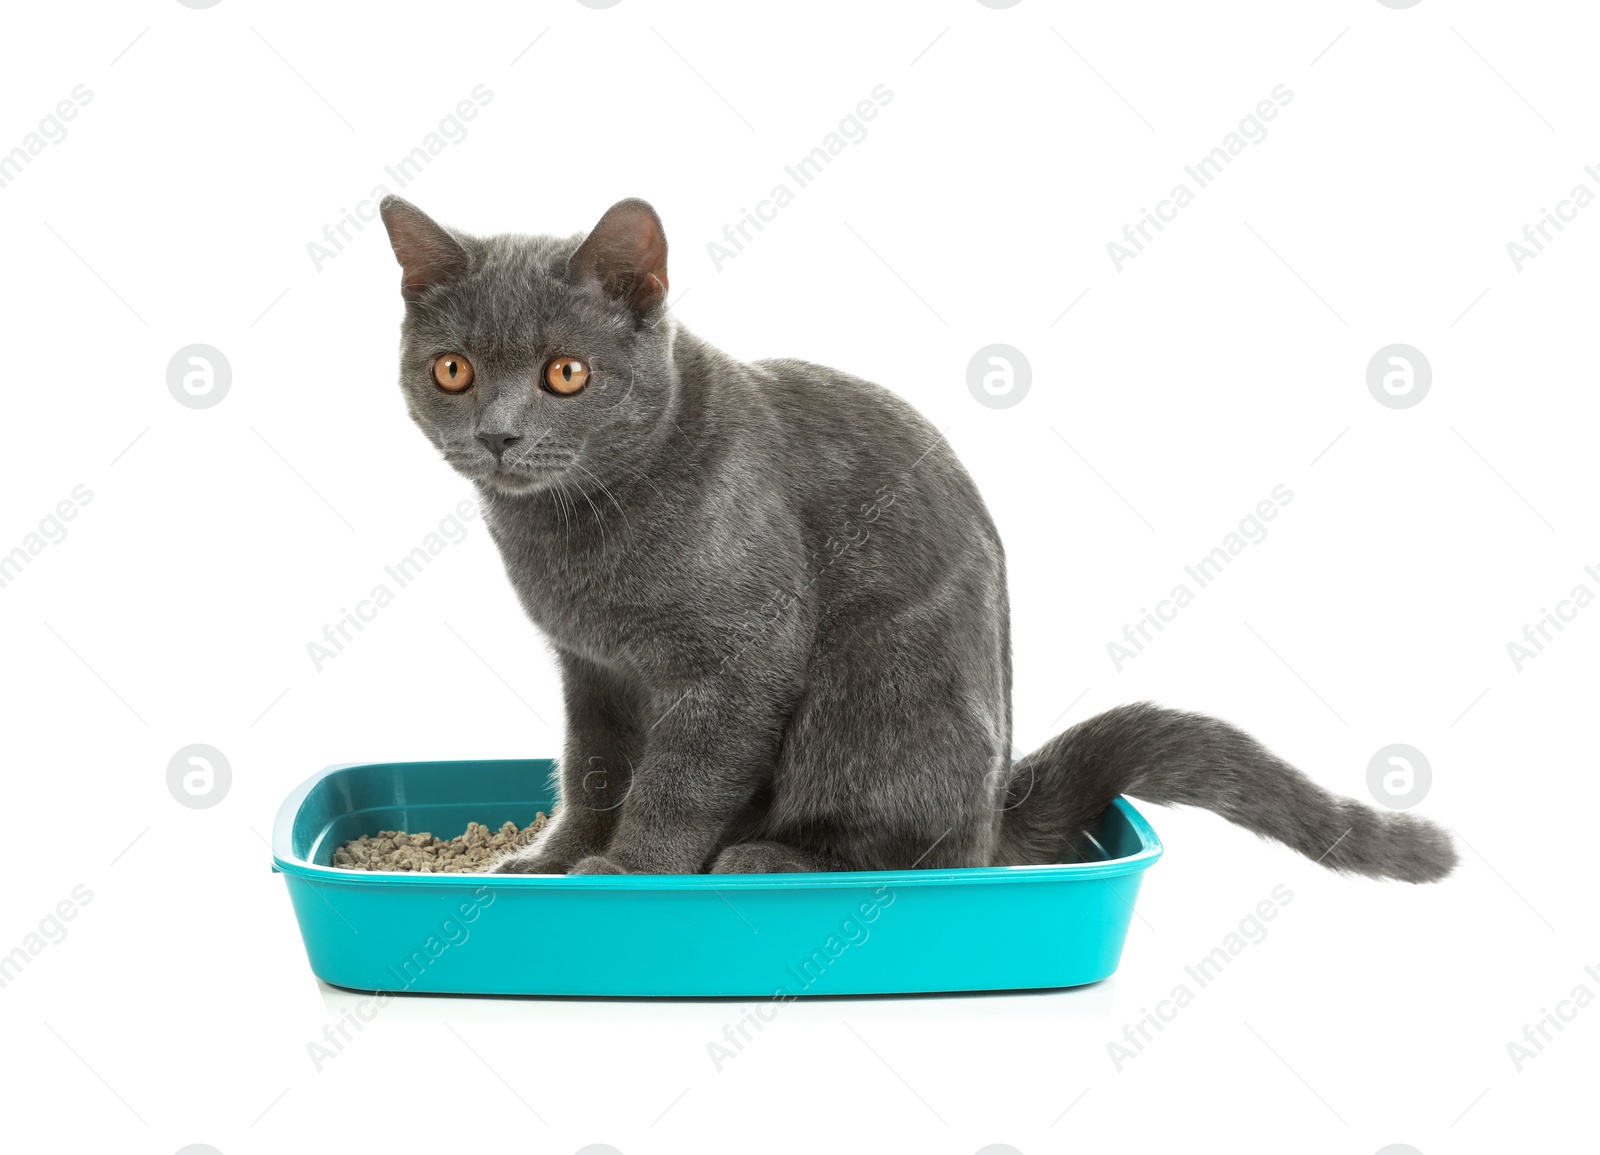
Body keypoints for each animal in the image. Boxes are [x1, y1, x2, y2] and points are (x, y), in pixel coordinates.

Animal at [380, 199, 1459, 883]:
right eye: (452, 369)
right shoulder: (593, 671)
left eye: (565, 373)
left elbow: (678, 782)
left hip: (862, 691)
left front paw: (630, 873)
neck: (571, 533)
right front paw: (551, 859)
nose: (499, 433)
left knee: (919, 849)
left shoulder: (733, 666)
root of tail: (998, 810)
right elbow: (590, 770)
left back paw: (770, 857)